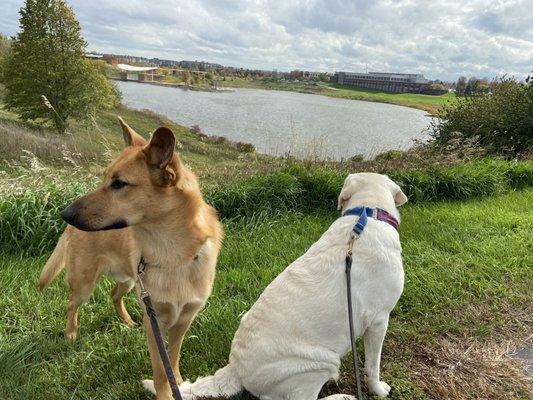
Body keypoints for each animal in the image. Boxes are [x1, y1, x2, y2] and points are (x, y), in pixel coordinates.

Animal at [38, 117, 222, 398]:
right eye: (104, 179)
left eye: (118, 184)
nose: (64, 213)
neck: (173, 255)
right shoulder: (153, 321)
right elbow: (160, 371)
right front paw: (165, 392)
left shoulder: (184, 320)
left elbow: (173, 358)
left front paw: (179, 382)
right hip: (85, 283)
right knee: (71, 304)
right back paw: (70, 333)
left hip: (130, 280)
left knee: (114, 294)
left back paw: (125, 321)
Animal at [143, 172, 406, 400]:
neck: (366, 214)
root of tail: (235, 369)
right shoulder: (379, 320)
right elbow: (373, 366)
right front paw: (378, 389)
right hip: (321, 362)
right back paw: (342, 397)